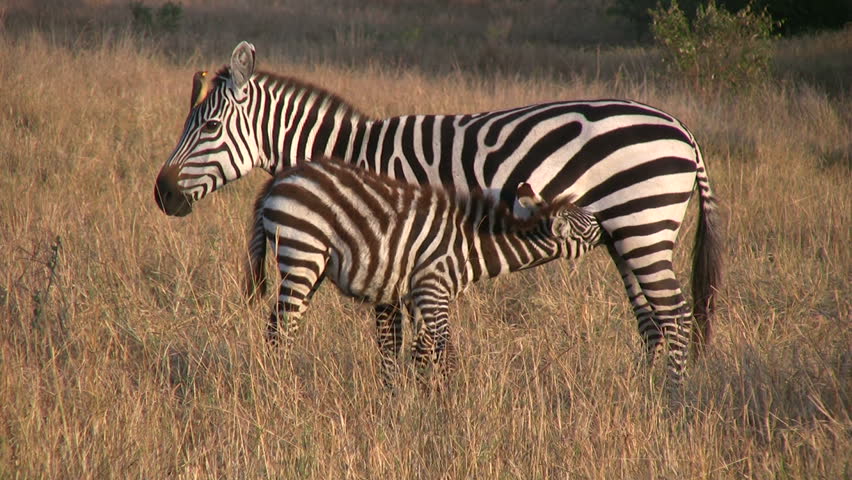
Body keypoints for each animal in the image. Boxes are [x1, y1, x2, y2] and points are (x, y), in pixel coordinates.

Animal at [248, 158, 604, 386]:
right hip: (301, 254)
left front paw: (418, 401)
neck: (472, 245)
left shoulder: (420, 293)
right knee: (280, 329)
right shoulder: (434, 287)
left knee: (282, 325)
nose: (608, 225)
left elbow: (422, 351)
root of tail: (282, 177)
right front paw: (448, 408)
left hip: (310, 264)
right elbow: (445, 353)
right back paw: (279, 386)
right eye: (589, 227)